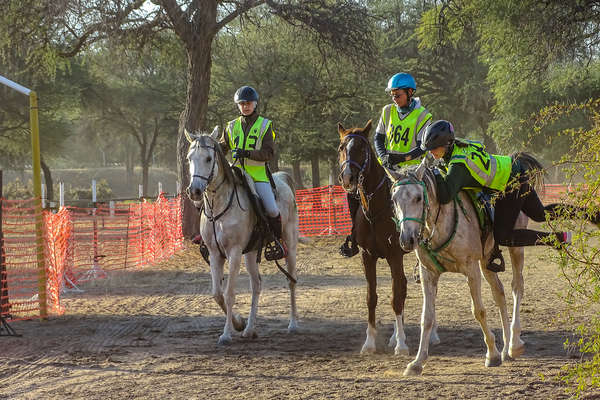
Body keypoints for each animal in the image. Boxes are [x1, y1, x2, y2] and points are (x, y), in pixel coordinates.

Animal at [184, 127, 298, 344]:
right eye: (189, 158)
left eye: (209, 159)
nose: (194, 191)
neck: (219, 207)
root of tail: (283, 179)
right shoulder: (215, 254)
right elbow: (217, 294)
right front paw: (238, 323)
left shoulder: (234, 252)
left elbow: (229, 294)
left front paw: (226, 334)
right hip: (251, 254)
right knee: (256, 285)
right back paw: (250, 329)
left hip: (290, 243)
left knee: (291, 280)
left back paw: (293, 323)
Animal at [386, 160, 528, 376]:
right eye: (394, 199)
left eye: (418, 197)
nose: (406, 240)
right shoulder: (428, 273)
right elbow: (426, 318)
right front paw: (417, 362)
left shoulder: (471, 269)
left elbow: (479, 311)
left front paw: (492, 354)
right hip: (487, 261)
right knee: (499, 294)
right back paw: (505, 350)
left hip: (515, 247)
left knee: (516, 286)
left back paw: (514, 344)